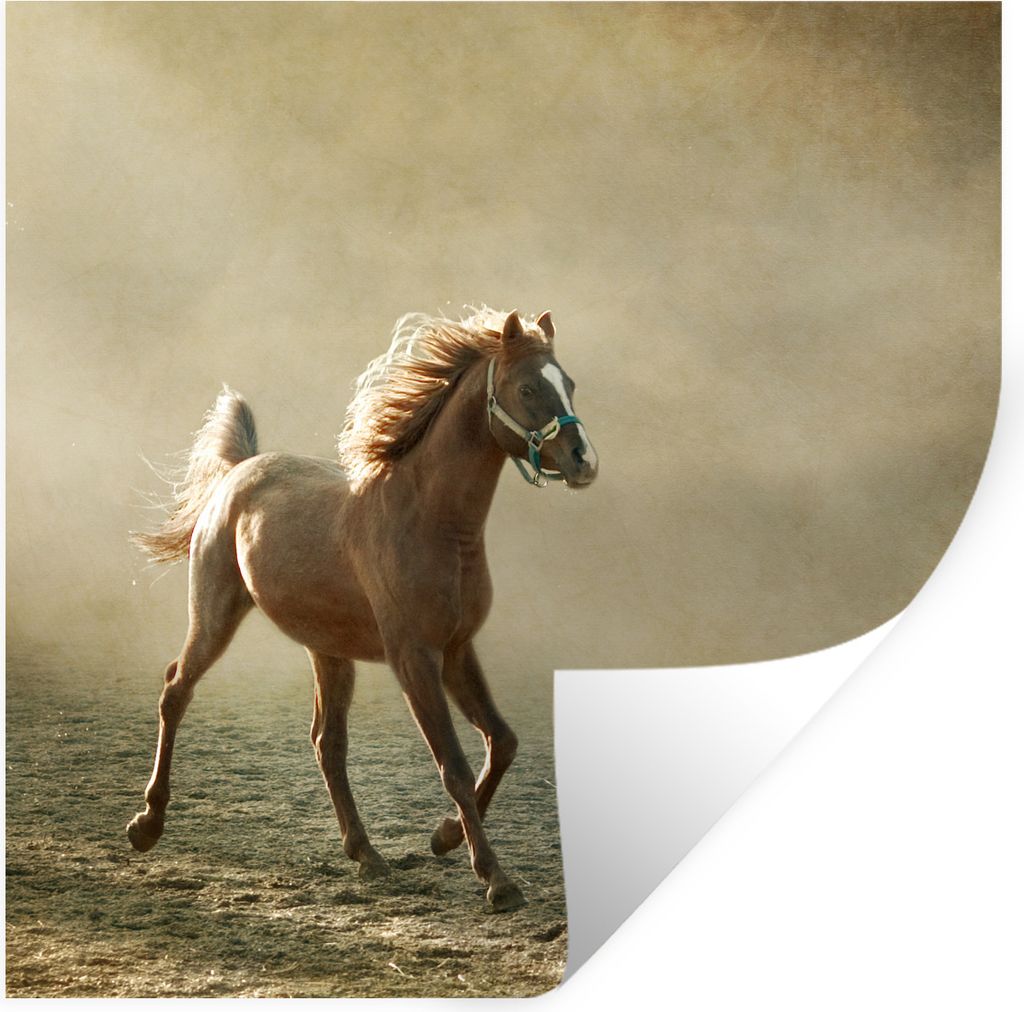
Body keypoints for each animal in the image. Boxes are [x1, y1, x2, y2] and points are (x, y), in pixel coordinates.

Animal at [126, 308, 598, 911]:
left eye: (570, 384)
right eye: (528, 388)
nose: (584, 462)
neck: (432, 522)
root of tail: (240, 470)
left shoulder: (455, 650)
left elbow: (503, 742)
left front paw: (444, 837)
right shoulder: (414, 659)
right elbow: (455, 767)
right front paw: (496, 879)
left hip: (327, 650)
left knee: (327, 743)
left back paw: (366, 854)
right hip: (214, 616)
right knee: (176, 690)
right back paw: (147, 824)